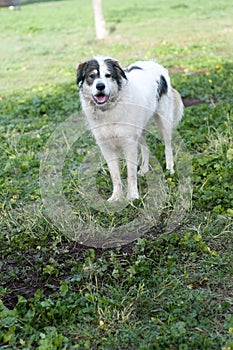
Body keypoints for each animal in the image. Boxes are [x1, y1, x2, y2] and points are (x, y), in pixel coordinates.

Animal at [77, 55, 184, 201]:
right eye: (92, 76)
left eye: (108, 75)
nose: (100, 86)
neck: (109, 110)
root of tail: (154, 64)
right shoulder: (106, 147)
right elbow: (115, 175)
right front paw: (116, 197)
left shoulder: (129, 144)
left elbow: (131, 174)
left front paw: (133, 196)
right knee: (145, 147)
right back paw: (144, 170)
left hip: (164, 121)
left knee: (168, 146)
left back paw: (170, 169)